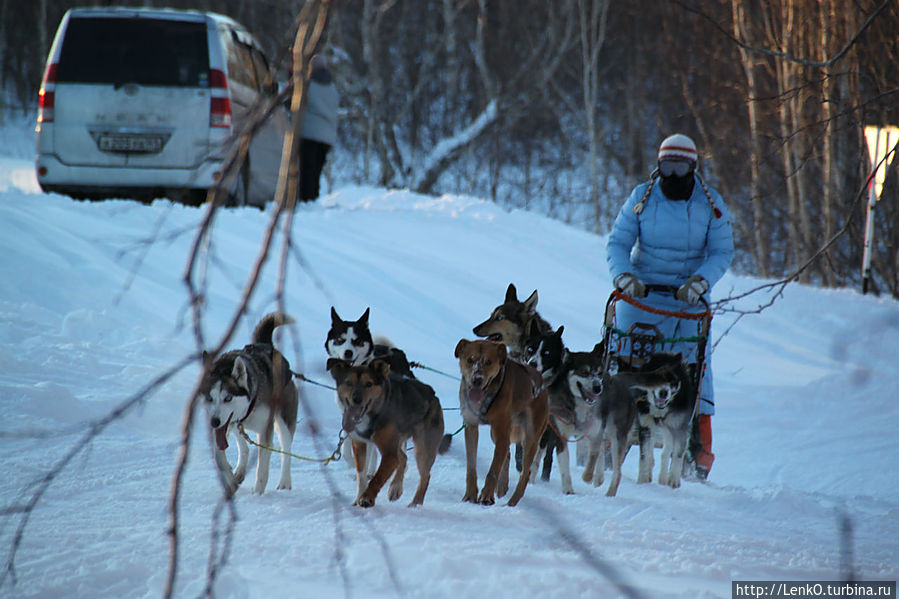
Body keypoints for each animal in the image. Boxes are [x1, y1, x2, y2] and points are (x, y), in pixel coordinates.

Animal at [328, 358, 448, 508]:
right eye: (349, 382)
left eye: (369, 383)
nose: (357, 399)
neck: (373, 414)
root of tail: (433, 394)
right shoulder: (360, 443)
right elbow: (361, 474)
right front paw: (359, 497)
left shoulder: (389, 452)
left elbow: (378, 477)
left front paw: (367, 498)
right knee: (403, 457)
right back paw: (395, 488)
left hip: (423, 448)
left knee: (425, 475)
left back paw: (415, 504)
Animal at [458, 340, 548, 504]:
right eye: (470, 360)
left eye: (489, 362)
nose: (477, 379)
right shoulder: (471, 427)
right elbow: (471, 466)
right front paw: (470, 494)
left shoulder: (501, 433)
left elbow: (493, 470)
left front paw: (486, 496)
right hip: (498, 433)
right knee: (506, 453)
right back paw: (502, 487)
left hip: (530, 438)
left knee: (525, 472)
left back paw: (511, 503)